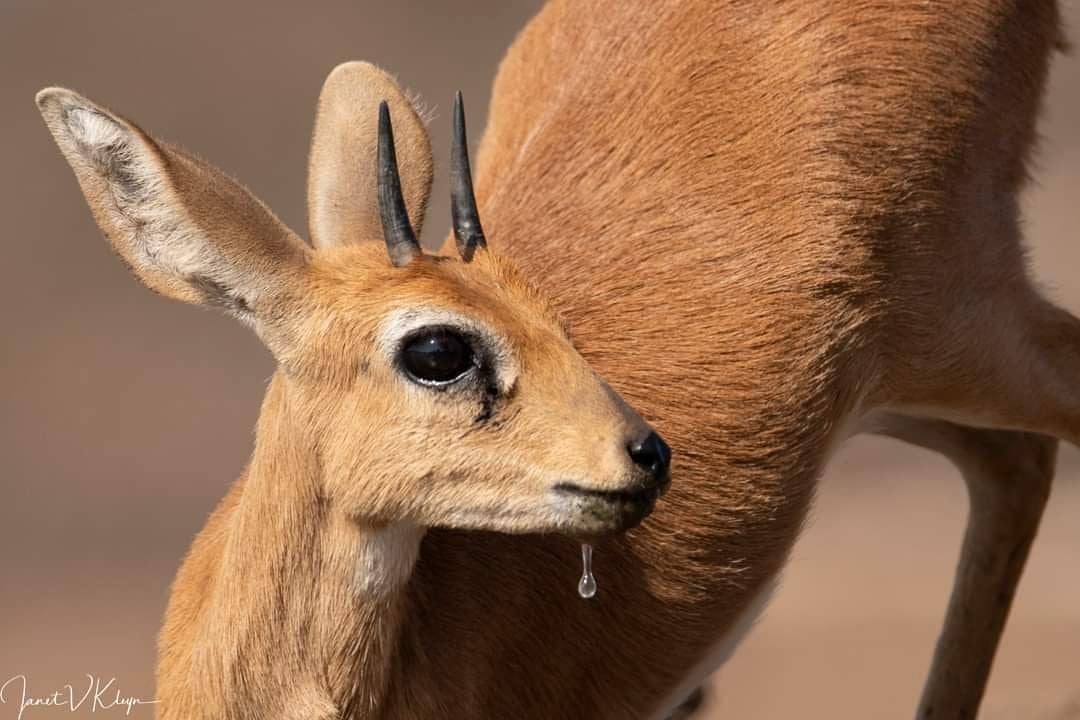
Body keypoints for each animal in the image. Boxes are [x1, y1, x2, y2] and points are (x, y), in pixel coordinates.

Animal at [38, 1, 1067, 720]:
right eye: (438, 347)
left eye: (548, 311)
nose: (646, 454)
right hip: (910, 394)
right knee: (1013, 461)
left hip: (967, 336)